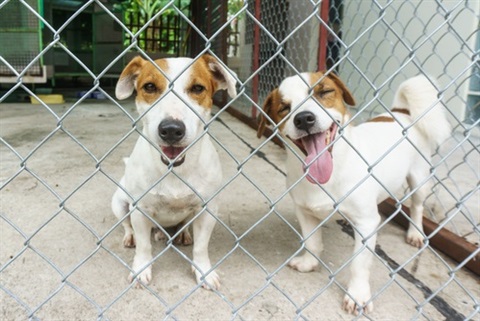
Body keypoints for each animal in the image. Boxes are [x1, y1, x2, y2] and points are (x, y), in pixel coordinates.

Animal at [111, 53, 238, 288]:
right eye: (150, 87)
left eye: (197, 88)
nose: (171, 129)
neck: (174, 169)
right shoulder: (140, 210)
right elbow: (144, 246)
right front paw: (141, 269)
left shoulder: (208, 210)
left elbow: (201, 247)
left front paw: (203, 271)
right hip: (120, 204)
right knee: (127, 225)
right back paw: (131, 237)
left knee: (182, 225)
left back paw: (182, 234)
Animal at [258, 72, 450, 312]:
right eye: (284, 107)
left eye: (324, 92)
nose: (303, 118)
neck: (330, 173)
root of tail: (401, 112)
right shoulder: (304, 212)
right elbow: (312, 243)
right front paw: (309, 263)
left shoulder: (367, 223)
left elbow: (359, 263)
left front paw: (357, 294)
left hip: (419, 180)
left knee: (417, 206)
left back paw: (415, 233)